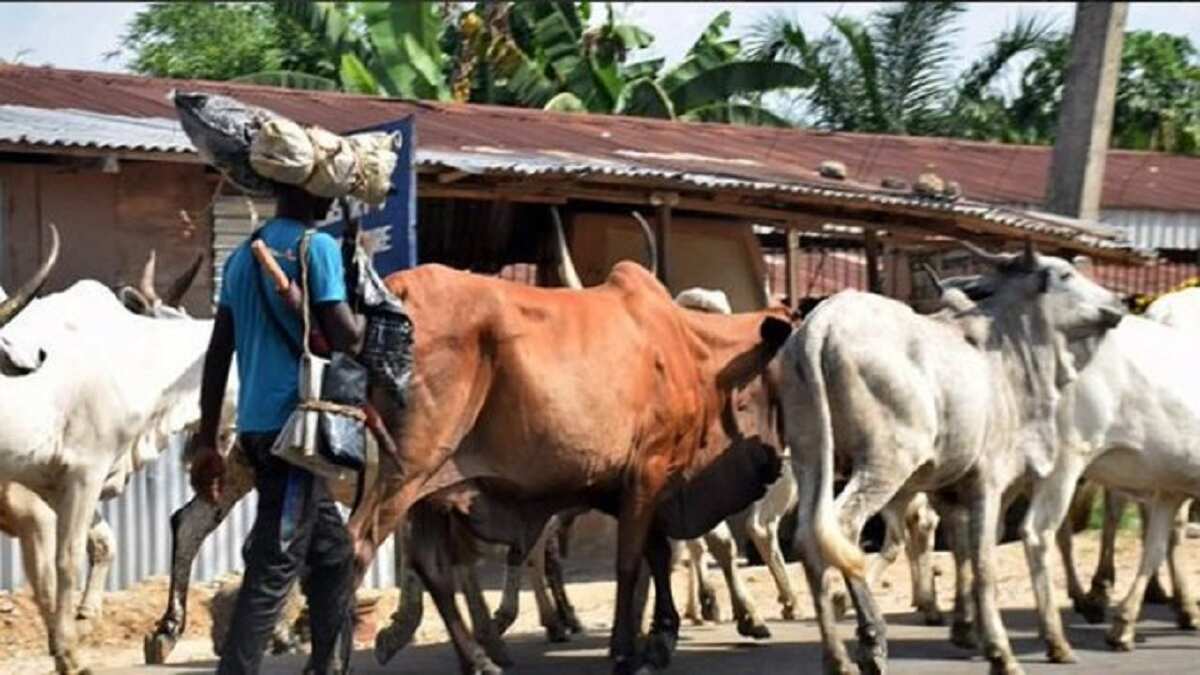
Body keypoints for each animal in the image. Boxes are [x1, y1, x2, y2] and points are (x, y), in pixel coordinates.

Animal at [348, 260, 792, 667]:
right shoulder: (649, 468)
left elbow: (657, 553)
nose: (774, 463)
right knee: (359, 546)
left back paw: (479, 659)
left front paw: (660, 635)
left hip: (428, 491)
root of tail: (397, 289)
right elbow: (631, 561)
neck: (693, 350)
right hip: (406, 469)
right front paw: (626, 648)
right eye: (773, 386)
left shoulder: (634, 483)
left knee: (435, 568)